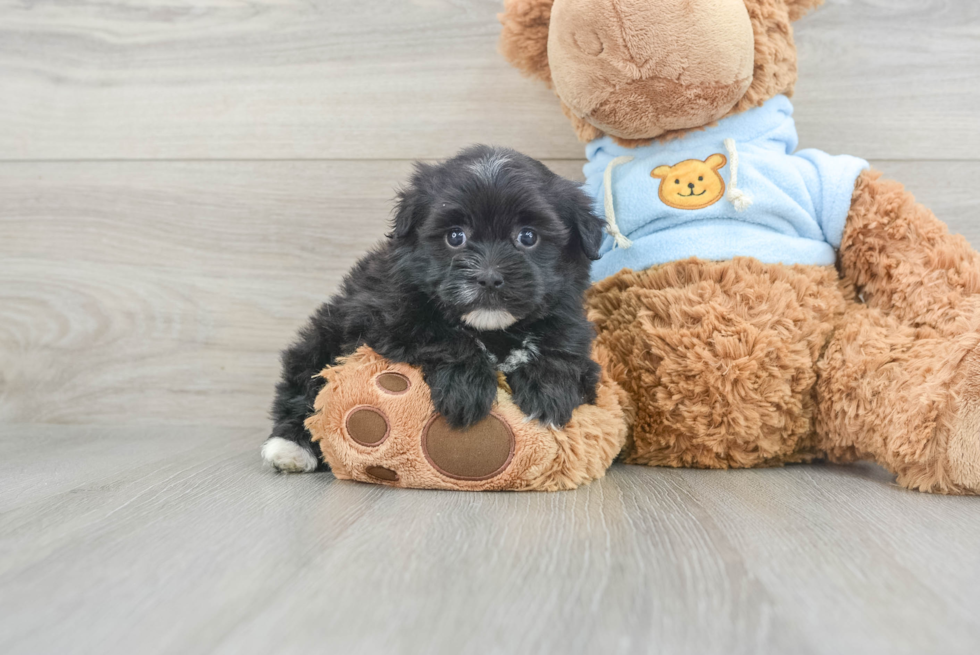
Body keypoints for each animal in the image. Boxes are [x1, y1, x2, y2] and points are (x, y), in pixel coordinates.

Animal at [266, 145, 604, 472]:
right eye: (455, 236)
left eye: (528, 236)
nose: (489, 277)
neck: (494, 331)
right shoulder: (386, 316)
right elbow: (442, 337)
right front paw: (466, 388)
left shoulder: (570, 322)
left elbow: (562, 350)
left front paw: (549, 391)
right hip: (324, 335)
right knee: (303, 382)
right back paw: (290, 447)